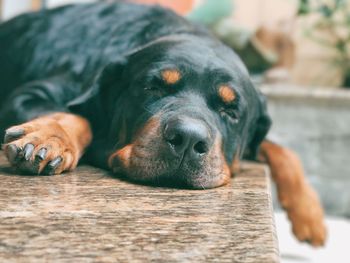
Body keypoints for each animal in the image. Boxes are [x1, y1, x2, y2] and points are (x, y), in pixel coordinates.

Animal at [0, 1, 326, 245]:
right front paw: (50, 137)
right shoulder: (31, 93)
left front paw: (309, 213)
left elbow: (279, 148)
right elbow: (77, 116)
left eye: (230, 110)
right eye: (153, 88)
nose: (188, 138)